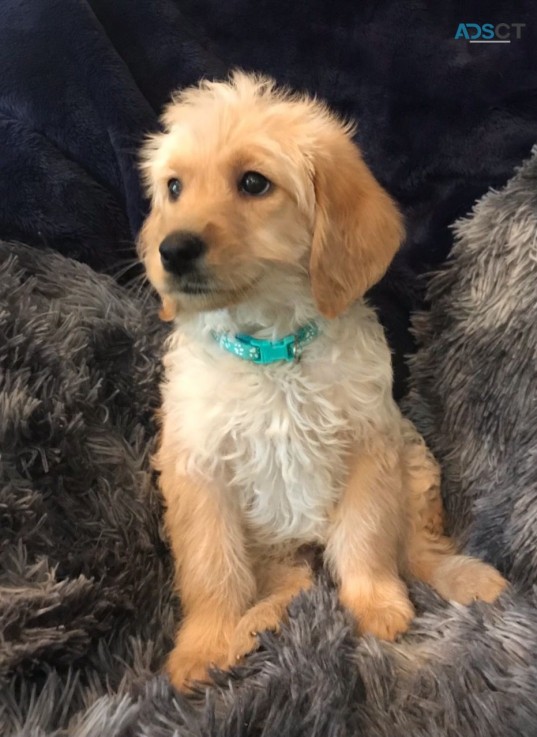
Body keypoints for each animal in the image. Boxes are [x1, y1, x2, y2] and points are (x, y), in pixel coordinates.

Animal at [138, 73, 506, 688]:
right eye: (173, 187)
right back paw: (260, 622)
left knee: (415, 548)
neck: (273, 352)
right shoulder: (199, 469)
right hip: (278, 547)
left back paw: (466, 577)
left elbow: (367, 538)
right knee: (291, 581)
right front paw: (204, 646)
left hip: (414, 464)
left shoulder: (369, 448)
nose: (173, 249)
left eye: (254, 182)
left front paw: (375, 604)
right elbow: (212, 567)